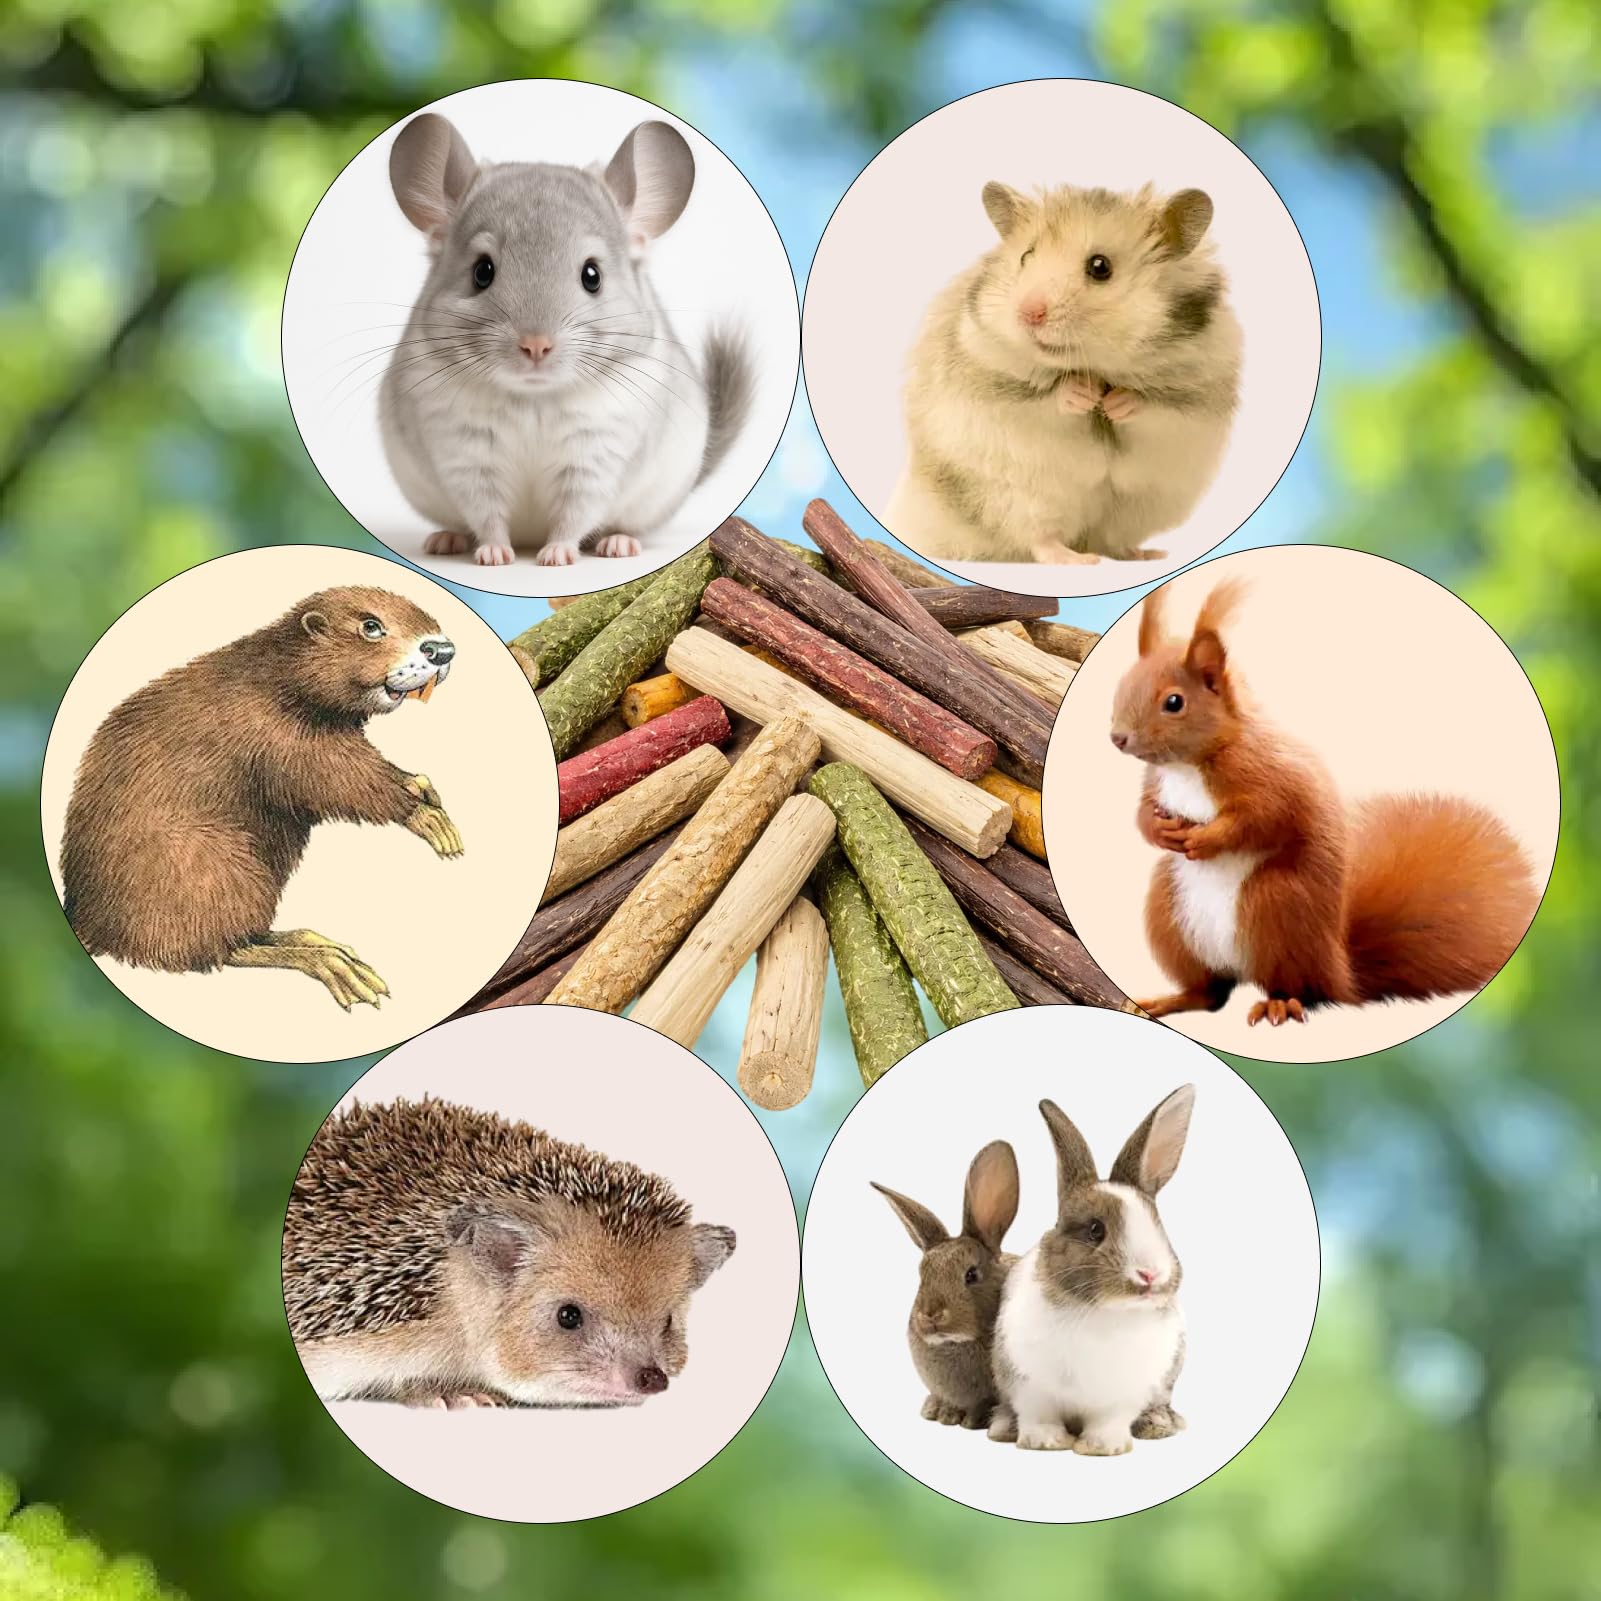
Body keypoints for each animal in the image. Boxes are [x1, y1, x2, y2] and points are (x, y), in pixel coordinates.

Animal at [379, 113, 753, 568]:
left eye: (592, 275)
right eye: (481, 271)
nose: (536, 345)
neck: (534, 398)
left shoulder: (596, 454)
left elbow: (575, 513)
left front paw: (556, 556)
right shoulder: (465, 452)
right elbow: (486, 511)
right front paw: (494, 556)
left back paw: (618, 544)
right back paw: (446, 540)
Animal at [888, 181, 1241, 565]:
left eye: (1100, 267)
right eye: (1026, 257)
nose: (1028, 313)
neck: (1096, 366)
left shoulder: (1196, 398)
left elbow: (1153, 406)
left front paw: (1116, 402)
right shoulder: (990, 380)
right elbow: (1044, 399)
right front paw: (1083, 395)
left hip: (1140, 506)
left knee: (1111, 540)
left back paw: (1145, 554)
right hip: (1017, 496)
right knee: (1040, 539)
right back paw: (1078, 559)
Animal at [990, 1085, 1195, 1455]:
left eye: (1158, 1225)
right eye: (1095, 1230)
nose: (1150, 1275)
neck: (1104, 1312)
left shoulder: (1125, 1393)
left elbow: (1110, 1420)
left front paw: (1103, 1446)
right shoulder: (1026, 1384)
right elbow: (1039, 1415)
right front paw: (1045, 1442)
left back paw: (1159, 1424)